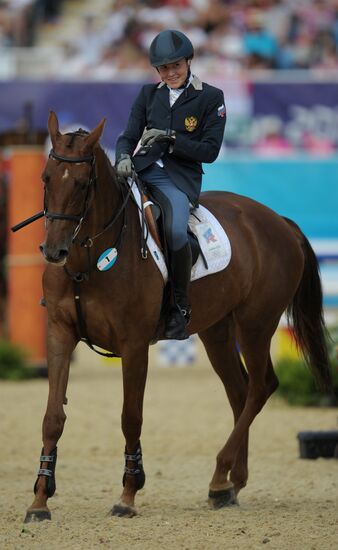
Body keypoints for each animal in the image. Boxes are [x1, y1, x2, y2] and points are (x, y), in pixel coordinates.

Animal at [25, 111, 332, 520]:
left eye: (83, 182)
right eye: (45, 178)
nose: (54, 250)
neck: (87, 260)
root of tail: (279, 220)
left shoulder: (134, 344)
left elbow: (131, 416)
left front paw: (128, 494)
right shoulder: (60, 334)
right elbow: (52, 418)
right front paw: (40, 500)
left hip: (255, 324)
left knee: (261, 386)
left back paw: (220, 475)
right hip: (218, 331)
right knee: (240, 391)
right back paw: (231, 484)